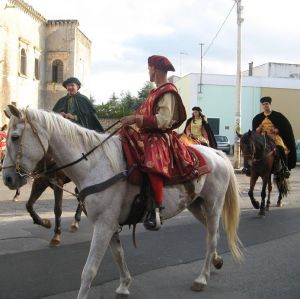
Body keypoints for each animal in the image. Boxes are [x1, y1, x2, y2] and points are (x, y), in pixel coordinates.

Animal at [1, 107, 241, 299]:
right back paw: (216, 261)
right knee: (212, 234)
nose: (8, 179)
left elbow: (89, 271)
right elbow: (118, 255)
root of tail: (217, 154)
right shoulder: (110, 224)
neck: (94, 164)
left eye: (15, 137)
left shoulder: (104, 224)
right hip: (195, 205)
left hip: (213, 206)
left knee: (211, 238)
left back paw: (202, 278)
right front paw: (124, 286)